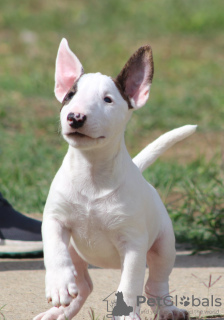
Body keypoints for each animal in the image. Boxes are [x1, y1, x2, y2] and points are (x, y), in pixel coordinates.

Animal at [34, 39, 197, 320]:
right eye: (70, 96)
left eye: (108, 100)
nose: (75, 117)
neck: (92, 171)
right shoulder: (54, 219)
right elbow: (55, 252)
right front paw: (58, 286)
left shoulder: (133, 244)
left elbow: (129, 284)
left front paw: (127, 314)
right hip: (77, 252)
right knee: (84, 285)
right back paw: (58, 312)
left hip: (164, 245)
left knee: (155, 283)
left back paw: (168, 309)